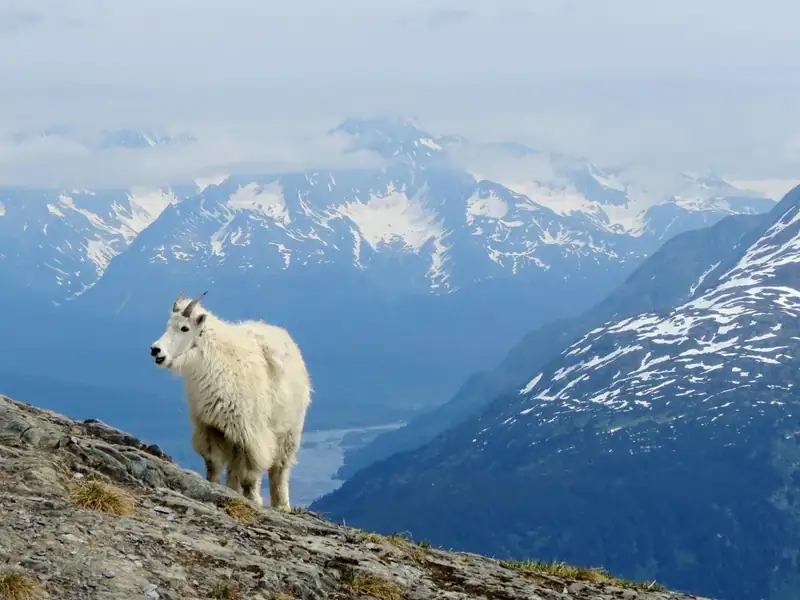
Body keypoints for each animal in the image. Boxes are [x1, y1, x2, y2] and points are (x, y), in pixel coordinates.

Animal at [149, 291, 311, 511]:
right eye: (168, 324)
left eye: (184, 328)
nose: (155, 350)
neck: (216, 363)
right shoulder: (211, 427)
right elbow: (213, 464)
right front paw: (215, 487)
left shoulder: (251, 432)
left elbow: (250, 473)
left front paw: (253, 499)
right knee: (235, 467)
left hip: (289, 430)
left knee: (279, 468)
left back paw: (281, 505)